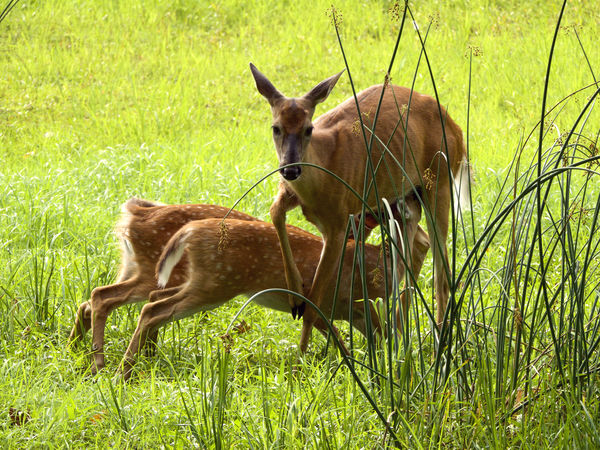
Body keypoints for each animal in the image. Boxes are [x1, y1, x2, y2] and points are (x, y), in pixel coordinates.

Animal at [68, 197, 255, 372]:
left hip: (130, 267)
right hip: (157, 273)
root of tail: (137, 213)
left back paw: (72, 350)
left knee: (88, 304)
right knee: (102, 295)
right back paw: (98, 364)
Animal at [119, 194, 426, 380]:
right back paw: (124, 372)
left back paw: (140, 362)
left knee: (153, 299)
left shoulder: (346, 311)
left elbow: (369, 341)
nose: (417, 195)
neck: (384, 261)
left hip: (199, 281)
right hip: (215, 283)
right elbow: (376, 339)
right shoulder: (356, 302)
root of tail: (189, 231)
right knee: (152, 309)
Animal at [248, 64, 468, 352]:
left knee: (443, 273)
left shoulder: (338, 222)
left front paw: (301, 356)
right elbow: (275, 213)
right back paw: (400, 332)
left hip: (439, 183)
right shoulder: (310, 209)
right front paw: (296, 296)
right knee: (419, 242)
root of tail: (458, 131)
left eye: (308, 128)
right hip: (396, 197)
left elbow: (315, 301)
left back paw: (437, 345)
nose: (290, 169)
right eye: (276, 128)